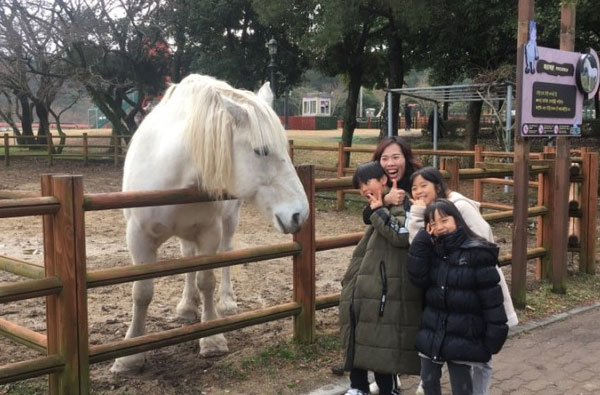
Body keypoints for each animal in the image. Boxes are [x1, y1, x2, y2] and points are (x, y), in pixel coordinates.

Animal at [110, 74, 312, 374]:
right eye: (261, 151)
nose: (300, 214)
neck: (175, 171)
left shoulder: (209, 232)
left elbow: (207, 281)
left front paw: (212, 339)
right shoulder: (138, 237)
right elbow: (142, 292)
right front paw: (130, 354)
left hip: (228, 222)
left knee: (226, 254)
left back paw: (226, 303)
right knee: (186, 258)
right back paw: (186, 306)